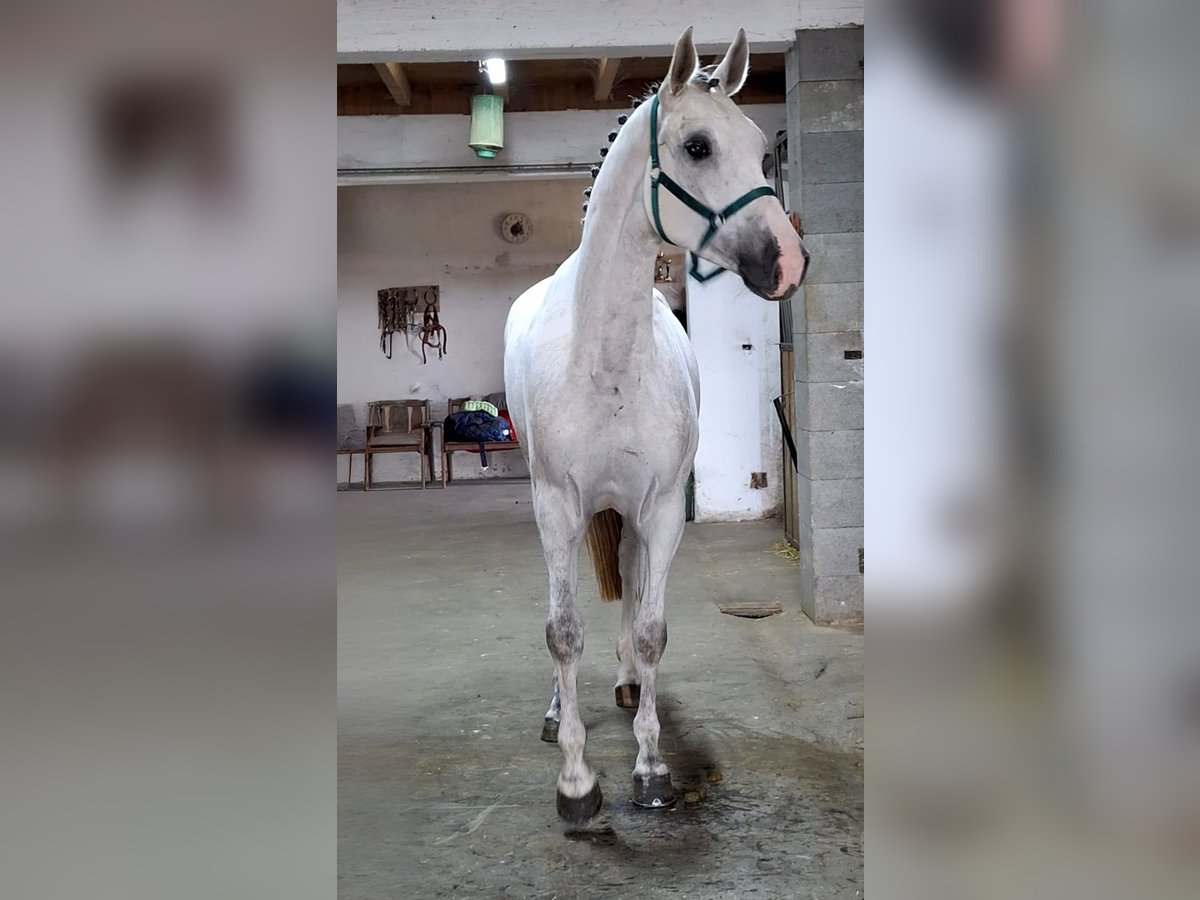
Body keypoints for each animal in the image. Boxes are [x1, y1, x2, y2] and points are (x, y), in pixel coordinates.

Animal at [503, 26, 809, 824]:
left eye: (761, 145)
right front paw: (577, 782)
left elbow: (649, 627)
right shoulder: (557, 505)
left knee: (632, 582)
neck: (606, 361)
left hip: (632, 515)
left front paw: (649, 766)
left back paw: (627, 685)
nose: (789, 260)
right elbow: (563, 632)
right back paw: (557, 712)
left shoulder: (664, 506)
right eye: (697, 146)